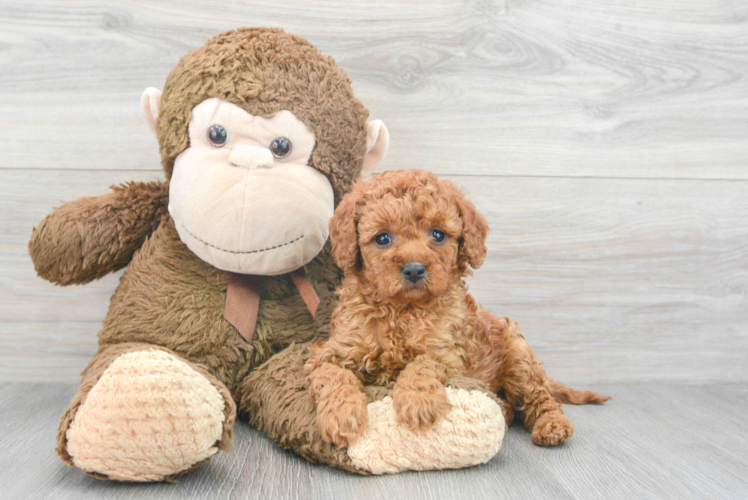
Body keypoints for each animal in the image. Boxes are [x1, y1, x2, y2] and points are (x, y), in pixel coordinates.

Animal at [304, 169, 608, 450]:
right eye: (382, 239)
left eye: (438, 235)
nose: (414, 269)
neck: (403, 310)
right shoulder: (331, 351)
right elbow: (332, 374)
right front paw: (340, 415)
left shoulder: (448, 355)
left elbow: (422, 363)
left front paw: (419, 401)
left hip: (519, 357)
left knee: (541, 397)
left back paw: (552, 424)